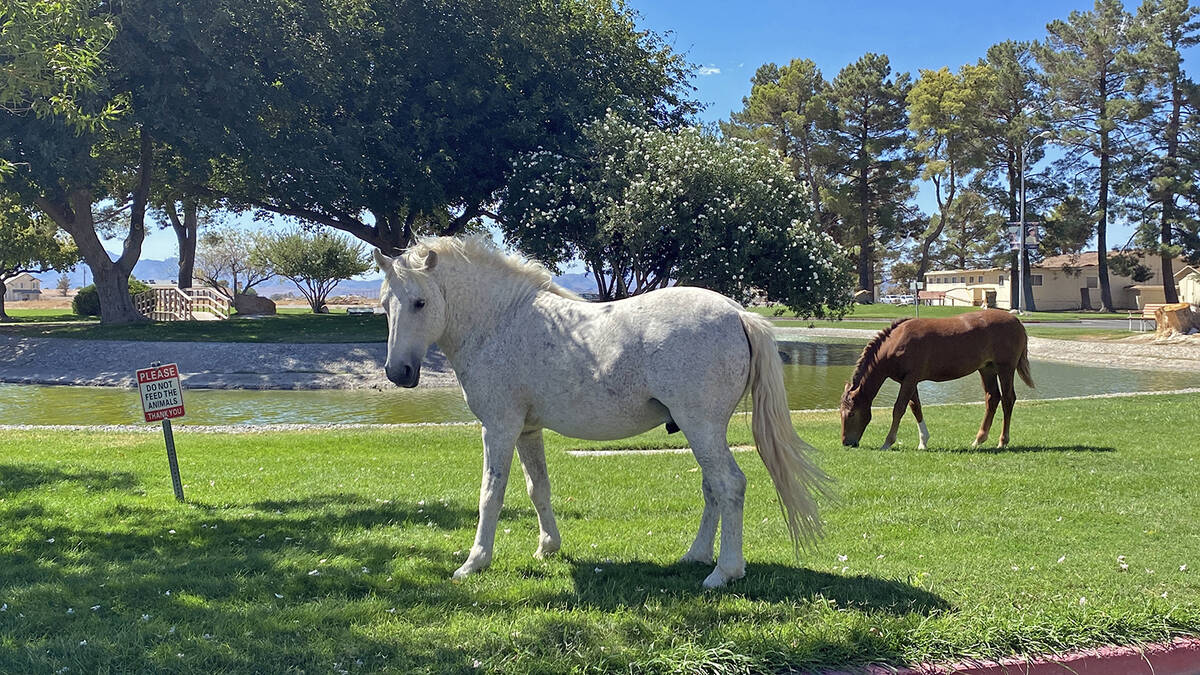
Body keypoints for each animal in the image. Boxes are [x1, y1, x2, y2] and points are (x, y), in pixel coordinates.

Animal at [374, 236, 828, 588]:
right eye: (384, 305)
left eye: (420, 302)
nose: (398, 372)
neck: (500, 322)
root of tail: (738, 313)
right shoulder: (527, 431)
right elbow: (538, 489)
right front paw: (548, 548)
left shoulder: (499, 428)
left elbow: (491, 494)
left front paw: (474, 563)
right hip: (702, 431)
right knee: (713, 488)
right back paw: (696, 555)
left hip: (702, 427)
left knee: (729, 485)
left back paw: (723, 572)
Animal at [839, 310, 1035, 450]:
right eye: (840, 413)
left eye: (851, 413)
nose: (846, 443)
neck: (895, 344)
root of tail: (1017, 322)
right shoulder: (909, 381)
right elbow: (915, 407)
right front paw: (923, 442)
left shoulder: (910, 379)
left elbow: (899, 408)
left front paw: (888, 442)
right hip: (987, 369)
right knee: (992, 398)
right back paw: (978, 440)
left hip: (1005, 368)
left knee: (1008, 399)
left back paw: (1002, 441)